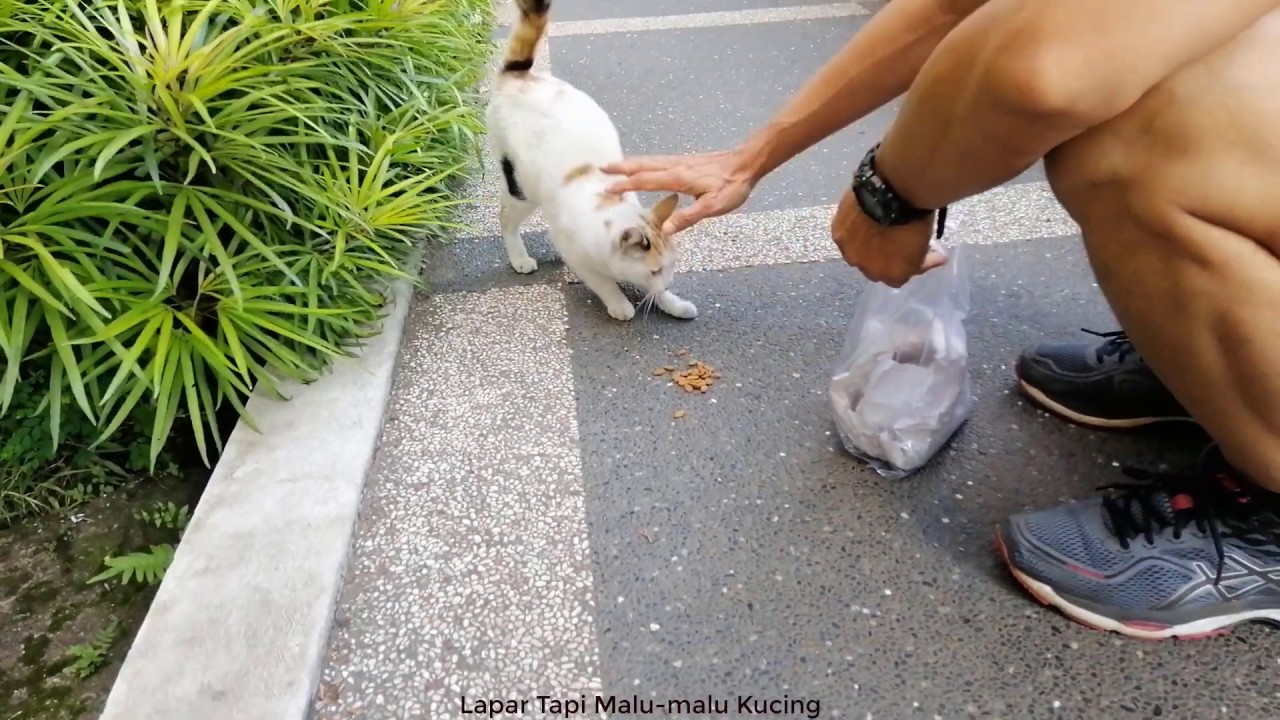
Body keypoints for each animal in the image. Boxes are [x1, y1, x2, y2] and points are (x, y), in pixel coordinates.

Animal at [481, 0, 701, 319]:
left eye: (671, 265)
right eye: (654, 270)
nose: (669, 281)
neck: (608, 204)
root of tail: (519, 76)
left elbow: (655, 294)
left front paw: (673, 302)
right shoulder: (573, 251)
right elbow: (602, 281)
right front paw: (620, 304)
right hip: (520, 187)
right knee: (506, 218)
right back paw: (520, 258)